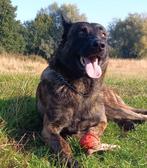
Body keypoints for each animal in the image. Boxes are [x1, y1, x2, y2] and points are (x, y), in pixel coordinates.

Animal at [36, 16, 147, 167]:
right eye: (81, 32)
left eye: (104, 34)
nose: (100, 45)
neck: (79, 89)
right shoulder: (49, 129)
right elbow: (62, 143)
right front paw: (70, 160)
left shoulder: (101, 121)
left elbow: (92, 131)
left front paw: (84, 138)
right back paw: (129, 124)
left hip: (113, 108)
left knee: (139, 116)